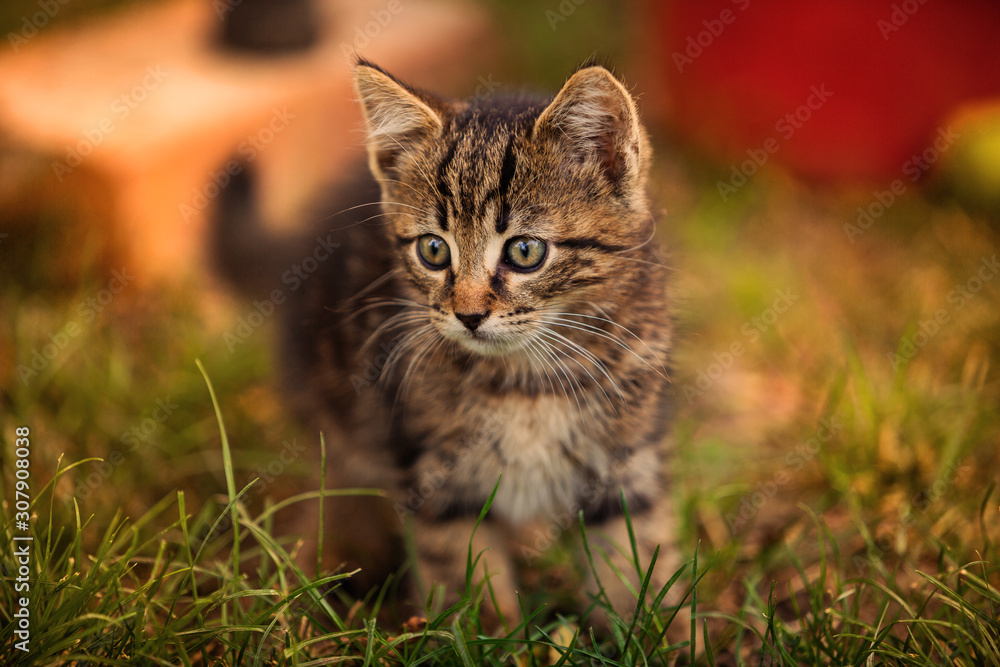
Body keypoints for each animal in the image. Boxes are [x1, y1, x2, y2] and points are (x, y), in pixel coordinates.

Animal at [214, 60, 676, 628]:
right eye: (434, 250)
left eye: (525, 251)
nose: (469, 314)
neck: (526, 382)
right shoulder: (433, 471)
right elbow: (462, 567)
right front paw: (491, 631)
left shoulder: (625, 456)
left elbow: (639, 555)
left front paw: (662, 631)